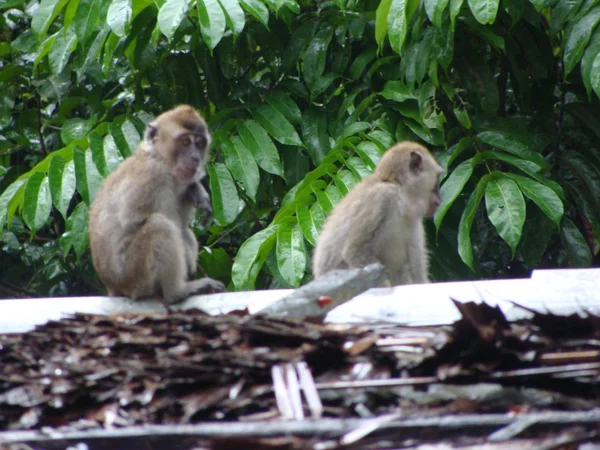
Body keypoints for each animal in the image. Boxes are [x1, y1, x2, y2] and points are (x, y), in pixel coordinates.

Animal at [90, 104, 226, 302]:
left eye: (200, 144)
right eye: (185, 141)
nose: (195, 158)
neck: (158, 158)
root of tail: (113, 287)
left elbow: (182, 223)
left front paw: (195, 190)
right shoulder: (151, 176)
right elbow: (134, 220)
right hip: (136, 278)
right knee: (160, 225)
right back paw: (176, 292)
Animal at [312, 142, 442, 286]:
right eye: (437, 179)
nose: (440, 199)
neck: (401, 196)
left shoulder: (413, 220)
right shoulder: (381, 199)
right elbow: (356, 252)